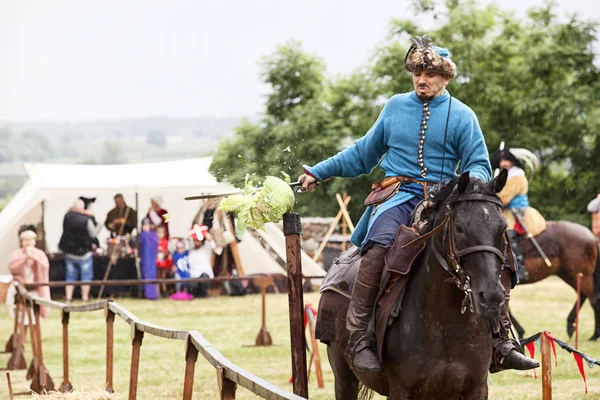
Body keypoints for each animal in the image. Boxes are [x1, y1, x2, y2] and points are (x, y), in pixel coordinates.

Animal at [316, 172, 508, 400]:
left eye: (503, 228)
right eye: (459, 228)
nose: (492, 297)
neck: (446, 323)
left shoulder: (476, 388)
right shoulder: (401, 390)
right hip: (344, 378)